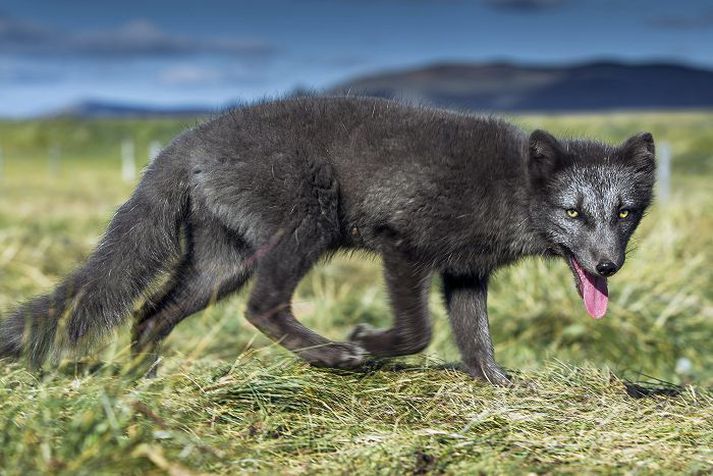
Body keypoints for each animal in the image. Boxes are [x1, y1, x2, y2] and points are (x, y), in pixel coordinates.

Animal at [1, 96, 656, 384]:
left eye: (624, 213)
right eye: (573, 211)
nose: (608, 265)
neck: (510, 187)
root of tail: (187, 140)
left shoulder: (464, 271)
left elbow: (476, 340)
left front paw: (497, 385)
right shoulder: (402, 244)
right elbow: (418, 333)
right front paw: (369, 342)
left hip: (221, 263)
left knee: (149, 313)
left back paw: (140, 384)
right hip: (304, 225)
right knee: (261, 307)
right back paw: (331, 355)